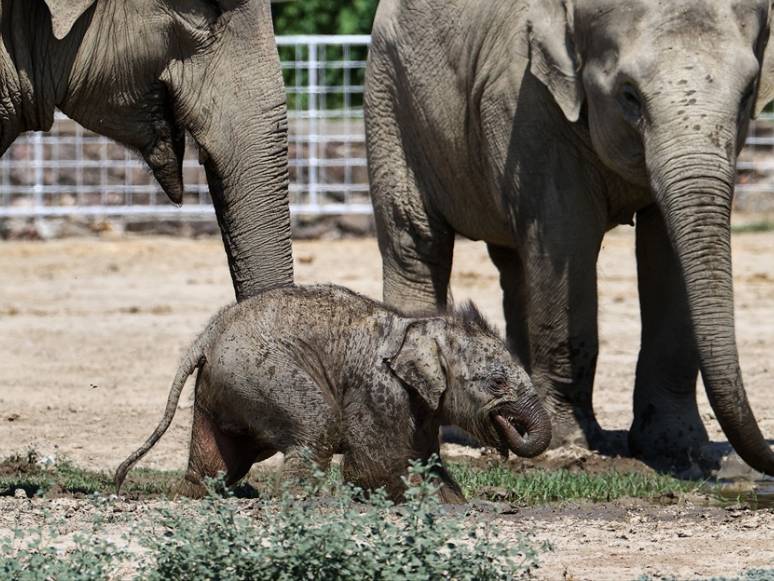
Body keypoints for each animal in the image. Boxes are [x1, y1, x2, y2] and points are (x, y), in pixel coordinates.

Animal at [113, 284, 552, 500]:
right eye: (497, 383)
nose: (507, 430)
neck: (417, 326)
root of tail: (206, 335)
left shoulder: (420, 406)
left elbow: (426, 461)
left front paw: (455, 504)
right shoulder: (378, 391)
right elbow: (375, 469)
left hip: (223, 385)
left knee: (218, 461)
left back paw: (194, 496)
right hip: (263, 373)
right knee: (317, 427)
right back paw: (302, 505)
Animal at [366, 0, 774, 474]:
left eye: (748, 93)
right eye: (629, 95)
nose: (768, 456)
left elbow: (666, 250)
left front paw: (677, 447)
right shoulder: (527, 99)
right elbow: (567, 237)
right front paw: (570, 442)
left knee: (514, 264)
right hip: (389, 95)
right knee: (415, 241)